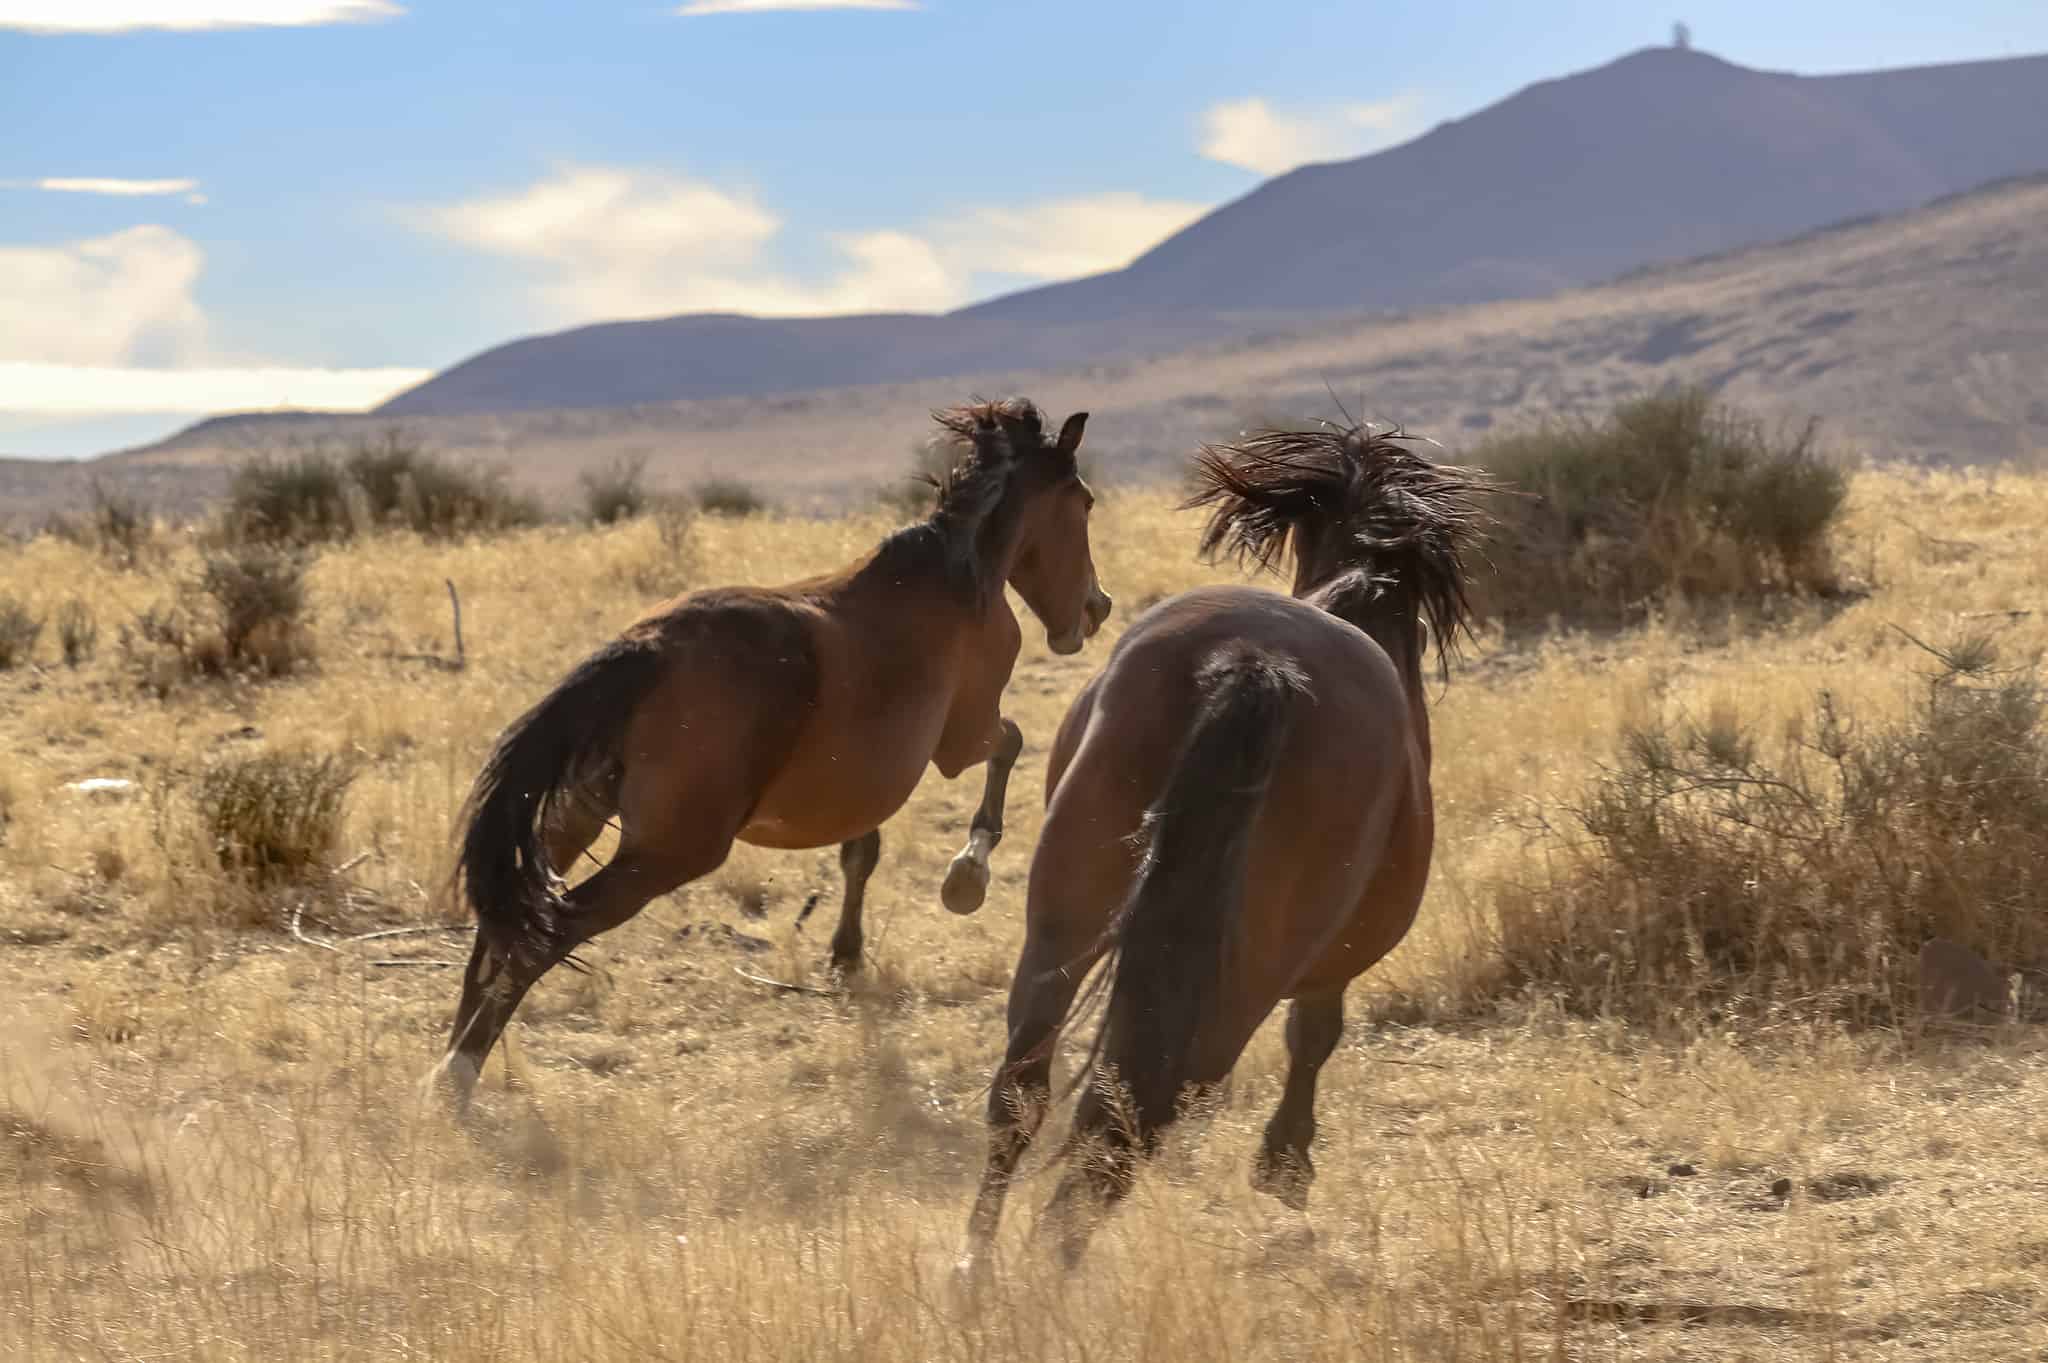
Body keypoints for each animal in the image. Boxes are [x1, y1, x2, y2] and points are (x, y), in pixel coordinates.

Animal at [428, 399, 1105, 1113]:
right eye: (1084, 502)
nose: (1097, 608)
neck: (958, 575)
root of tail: (645, 652)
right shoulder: (963, 738)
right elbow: (1011, 743)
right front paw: (965, 877)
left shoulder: (864, 784)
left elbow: (861, 852)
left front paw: (846, 955)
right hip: (668, 853)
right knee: (545, 936)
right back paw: (458, 1076)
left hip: (575, 817)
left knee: (501, 930)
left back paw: (448, 1067)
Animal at [958, 419, 1490, 1268]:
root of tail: (1252, 665)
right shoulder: (1328, 961)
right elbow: (1318, 1029)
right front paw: (1286, 1160)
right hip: (1244, 975)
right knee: (1129, 1123)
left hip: (1063, 919)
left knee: (1024, 1090)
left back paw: (974, 1268)